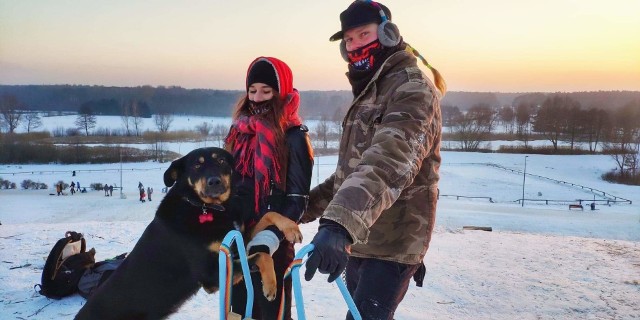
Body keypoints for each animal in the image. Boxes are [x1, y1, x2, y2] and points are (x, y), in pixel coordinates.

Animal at [75, 148, 302, 320]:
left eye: (221, 160)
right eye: (196, 165)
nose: (214, 182)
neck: (205, 208)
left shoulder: (237, 239)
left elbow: (270, 215)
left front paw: (292, 228)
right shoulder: (211, 276)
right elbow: (260, 256)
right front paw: (271, 286)